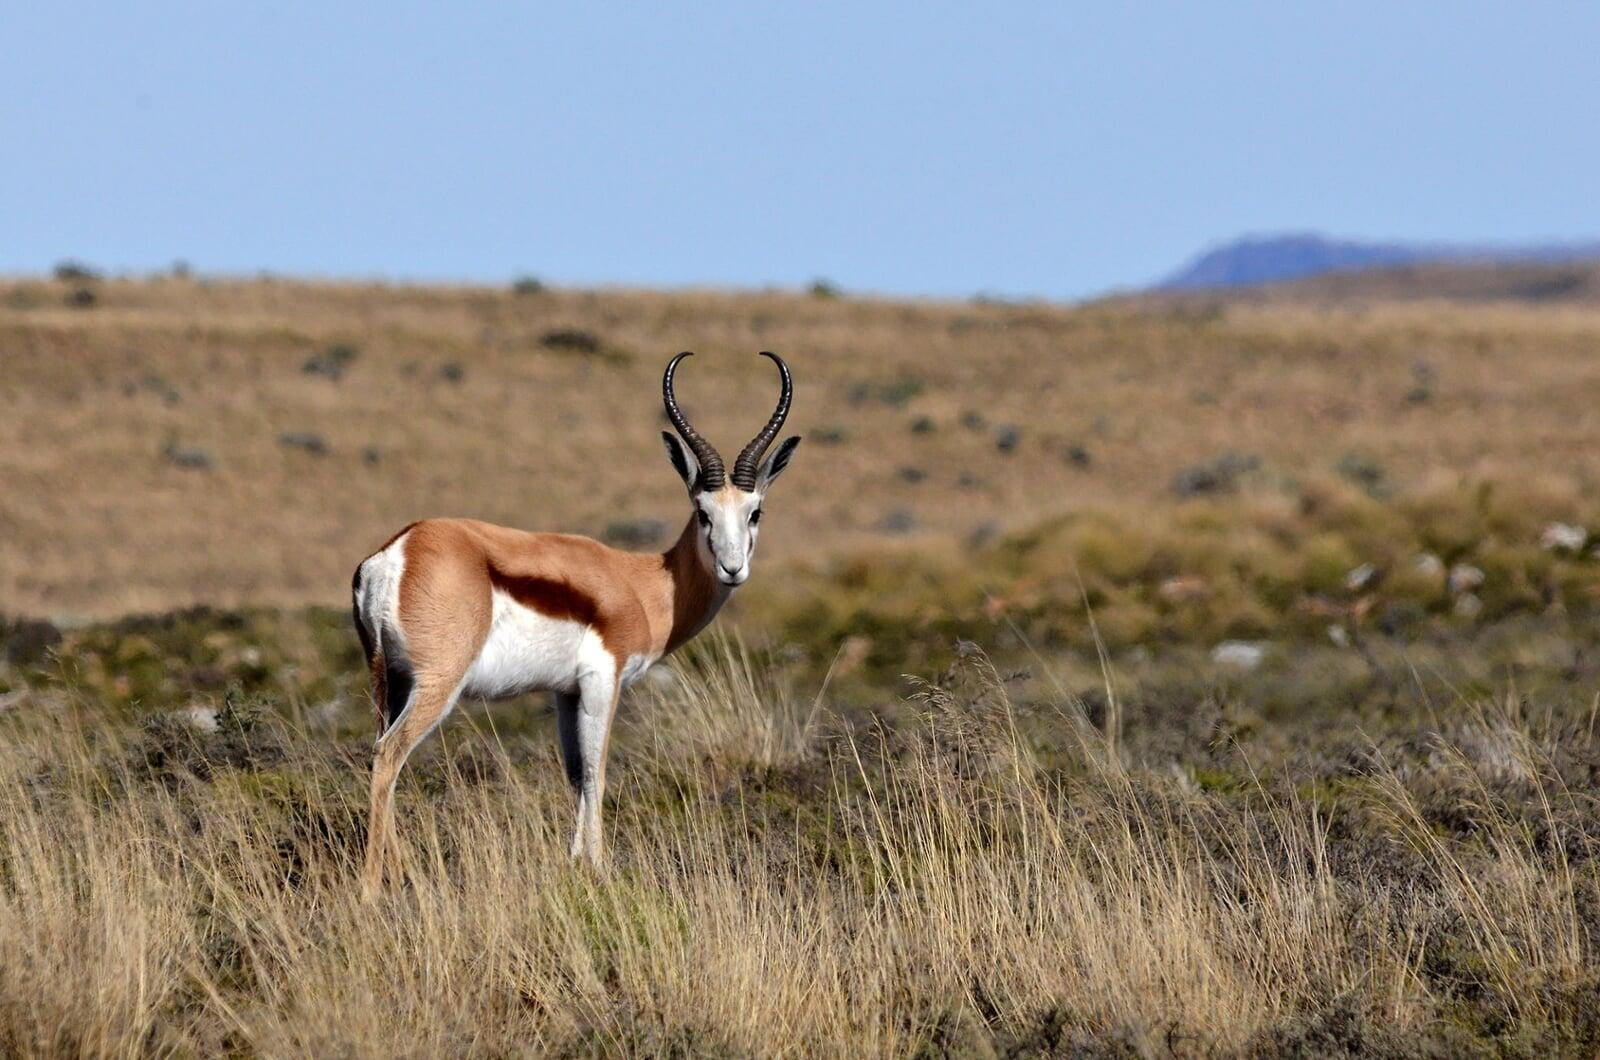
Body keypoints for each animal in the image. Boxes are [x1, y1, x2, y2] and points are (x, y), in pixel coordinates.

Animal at [350, 352, 800, 890]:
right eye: (703, 512)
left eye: (755, 512)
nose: (733, 569)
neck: (644, 585)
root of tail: (397, 554)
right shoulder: (603, 679)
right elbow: (596, 773)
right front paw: (600, 869)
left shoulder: (565, 691)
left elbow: (574, 775)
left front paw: (575, 863)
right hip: (438, 684)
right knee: (388, 756)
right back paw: (372, 891)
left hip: (390, 682)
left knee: (381, 756)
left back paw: (409, 877)